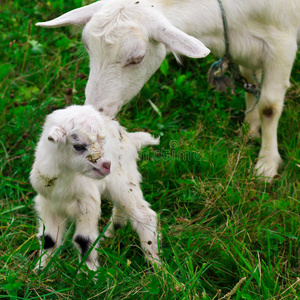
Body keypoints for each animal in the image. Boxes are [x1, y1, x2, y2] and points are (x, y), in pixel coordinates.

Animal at [35, 0, 300, 180]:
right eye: (88, 47)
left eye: (137, 58)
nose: (95, 111)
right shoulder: (244, 46)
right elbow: (250, 85)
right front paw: (249, 129)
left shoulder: (281, 45)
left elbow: (269, 107)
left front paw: (266, 165)